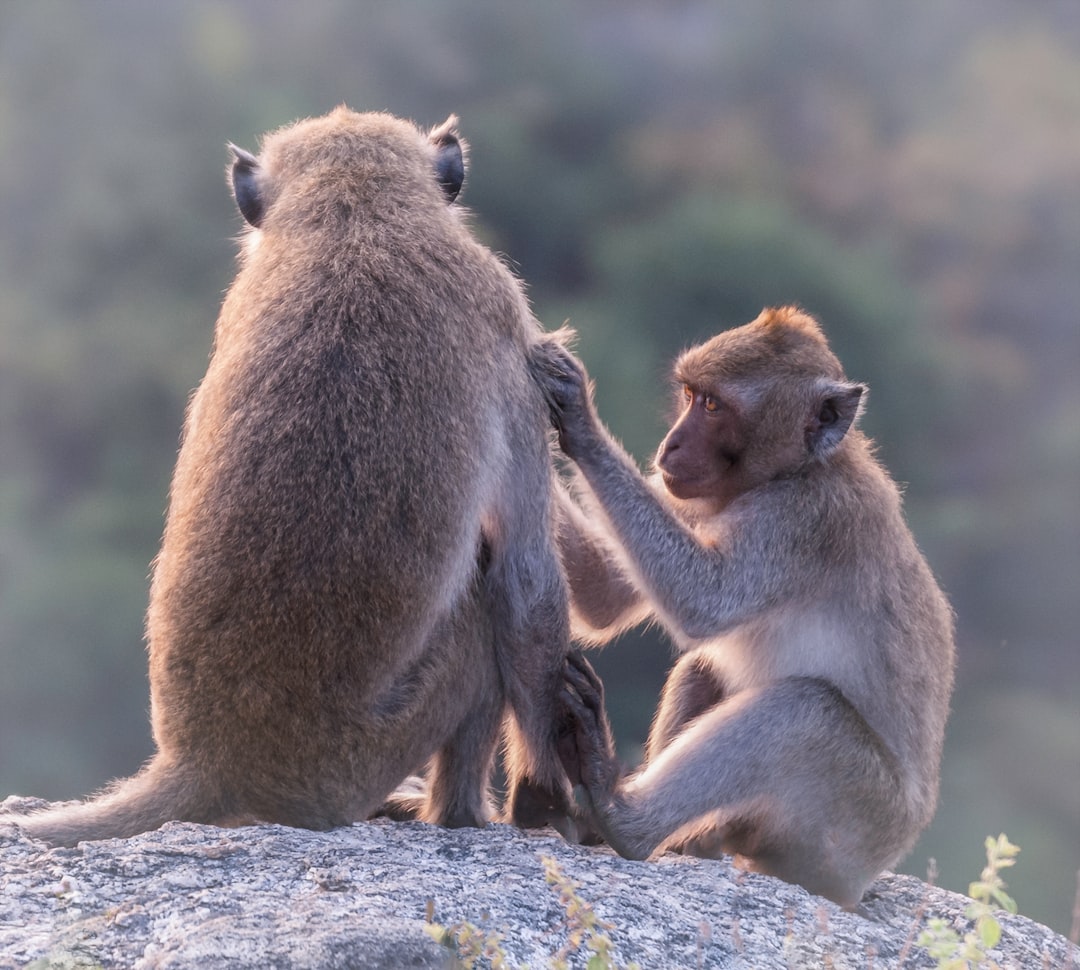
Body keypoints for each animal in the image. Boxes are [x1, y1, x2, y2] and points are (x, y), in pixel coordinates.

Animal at [10, 105, 574, 842]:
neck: (354, 211)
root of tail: (210, 760)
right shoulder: (506, 320)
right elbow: (525, 577)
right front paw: (551, 798)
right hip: (356, 756)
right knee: (483, 604)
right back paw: (461, 815)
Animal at [527, 311, 959, 907]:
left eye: (713, 406)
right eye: (689, 395)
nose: (669, 447)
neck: (793, 472)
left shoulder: (807, 521)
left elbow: (702, 601)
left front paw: (577, 414)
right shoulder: (690, 498)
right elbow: (602, 596)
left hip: (856, 822)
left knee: (805, 709)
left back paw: (623, 817)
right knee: (703, 671)